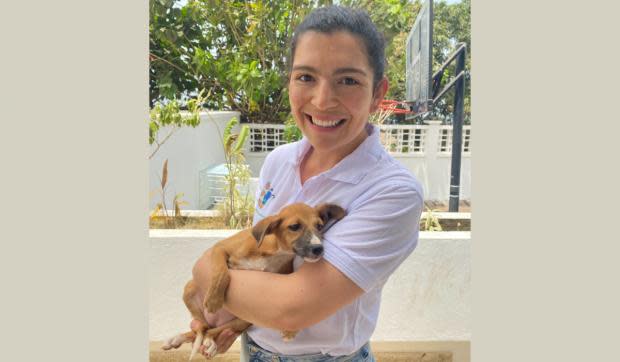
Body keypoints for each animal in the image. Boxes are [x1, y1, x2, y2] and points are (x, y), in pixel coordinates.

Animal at [161, 204, 344, 360]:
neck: (275, 251)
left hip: (243, 320)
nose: (318, 249)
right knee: (202, 327)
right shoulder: (220, 248)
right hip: (190, 289)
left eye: (319, 226)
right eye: (294, 226)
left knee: (209, 330)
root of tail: (216, 320)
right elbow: (222, 272)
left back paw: (207, 342)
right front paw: (214, 300)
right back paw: (181, 338)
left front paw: (291, 331)